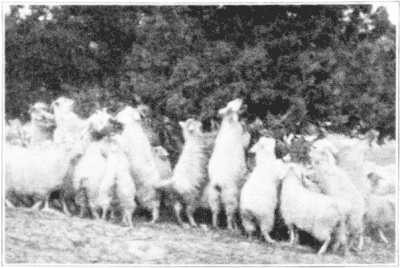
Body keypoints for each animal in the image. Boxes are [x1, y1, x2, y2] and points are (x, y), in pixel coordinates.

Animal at [209, 99, 247, 229]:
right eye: (232, 104)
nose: (241, 99)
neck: (229, 123)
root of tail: (218, 183)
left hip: (213, 194)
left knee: (215, 211)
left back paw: (215, 225)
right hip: (231, 194)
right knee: (230, 213)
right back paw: (232, 227)